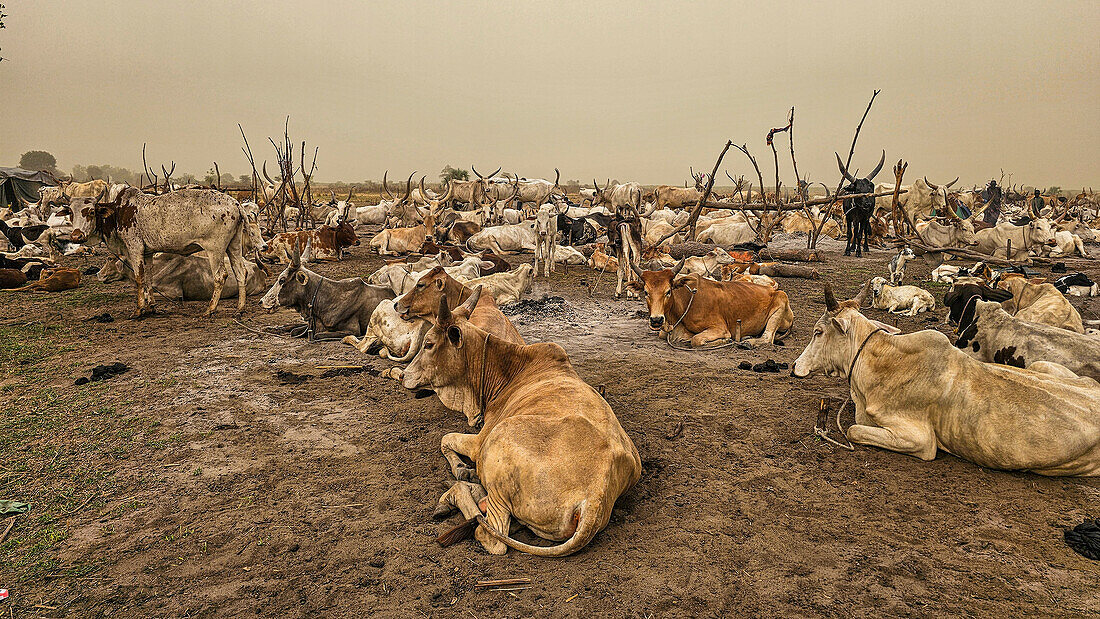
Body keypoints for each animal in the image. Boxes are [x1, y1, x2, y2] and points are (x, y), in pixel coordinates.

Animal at [400, 292, 642, 558]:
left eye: (429, 343)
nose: (403, 375)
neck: (510, 371)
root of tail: (595, 496)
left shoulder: (479, 441)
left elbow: (444, 439)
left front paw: (461, 468)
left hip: (497, 444)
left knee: (490, 534)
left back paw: (455, 491)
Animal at [629, 259, 792, 349]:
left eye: (668, 291)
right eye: (646, 292)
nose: (656, 320)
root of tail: (772, 289)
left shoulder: (719, 328)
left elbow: (696, 340)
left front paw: (726, 340)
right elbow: (663, 334)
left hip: (780, 302)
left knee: (767, 338)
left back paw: (747, 342)